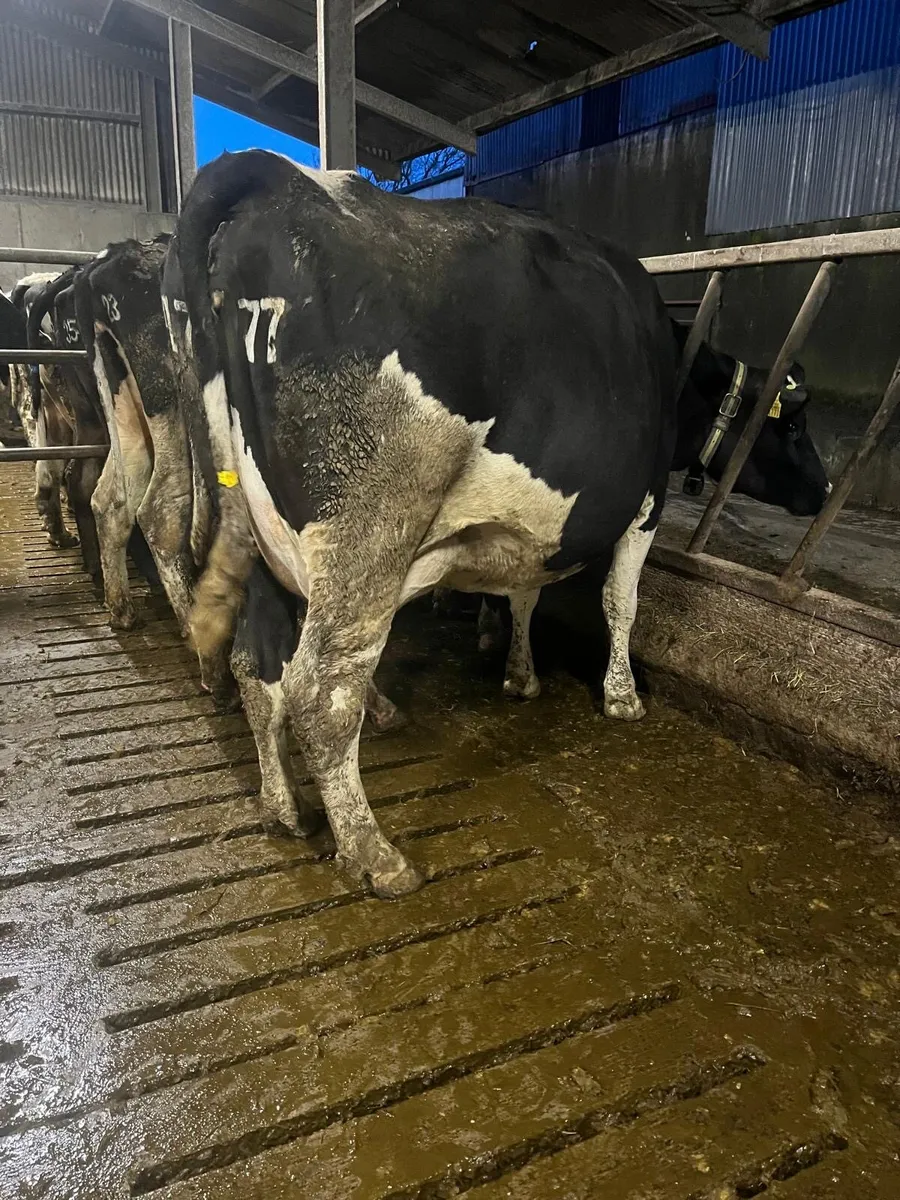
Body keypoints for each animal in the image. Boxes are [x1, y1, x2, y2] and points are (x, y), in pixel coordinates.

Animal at [164, 149, 681, 899]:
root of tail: (273, 176)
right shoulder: (651, 497)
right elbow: (621, 601)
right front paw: (621, 697)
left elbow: (525, 591)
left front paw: (521, 677)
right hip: (369, 526)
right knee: (320, 691)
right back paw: (375, 856)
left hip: (255, 534)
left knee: (255, 668)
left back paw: (285, 810)